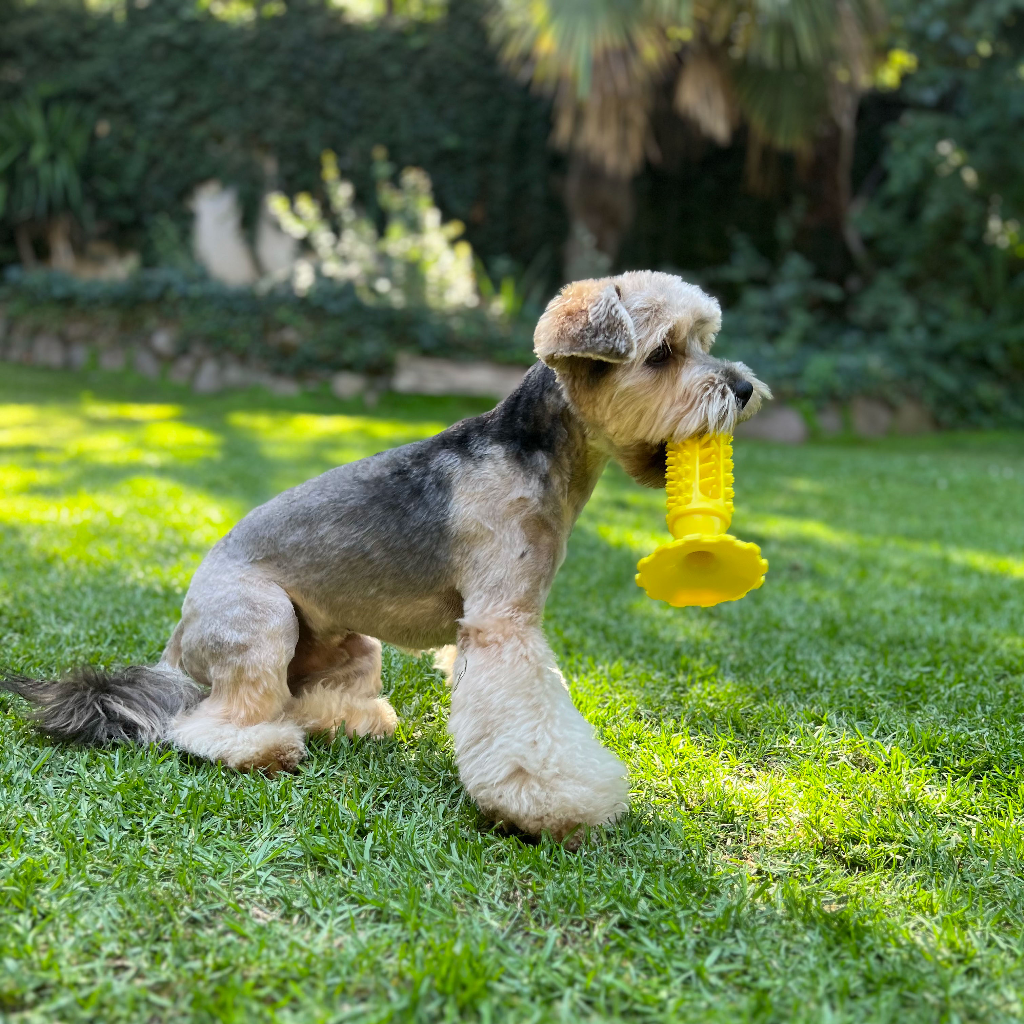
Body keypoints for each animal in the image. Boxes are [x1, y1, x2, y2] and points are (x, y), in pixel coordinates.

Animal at [2, 272, 770, 839]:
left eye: (705, 339)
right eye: (663, 353)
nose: (742, 388)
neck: (533, 449)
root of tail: (175, 645)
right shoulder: (503, 625)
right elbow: (531, 724)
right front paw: (554, 804)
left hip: (353, 643)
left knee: (303, 699)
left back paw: (350, 721)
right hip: (263, 623)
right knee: (207, 724)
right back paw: (265, 748)